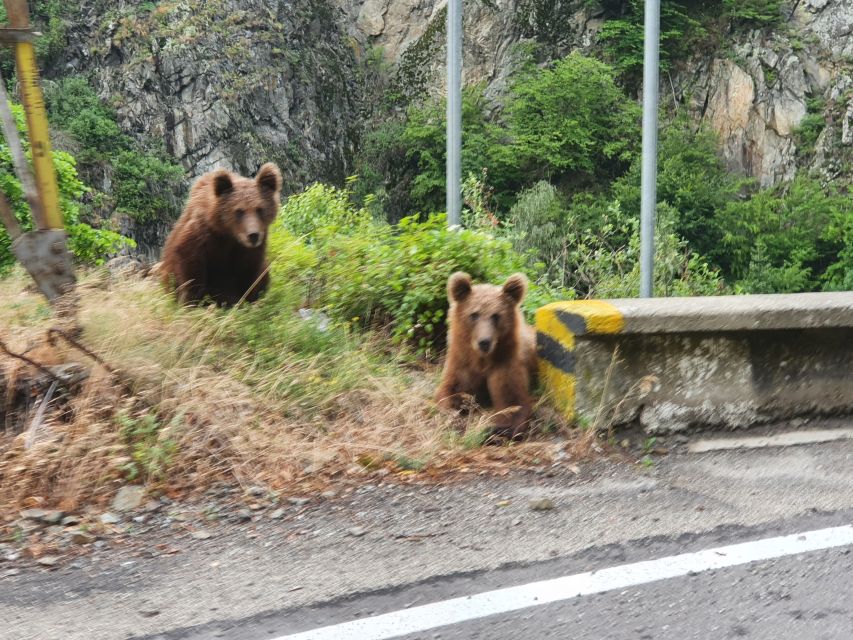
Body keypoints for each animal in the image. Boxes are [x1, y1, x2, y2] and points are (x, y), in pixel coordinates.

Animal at [158, 164, 282, 306]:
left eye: (260, 209)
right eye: (239, 211)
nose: (253, 235)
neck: (228, 233)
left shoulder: (248, 248)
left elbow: (249, 270)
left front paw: (247, 298)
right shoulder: (202, 234)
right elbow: (190, 266)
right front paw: (192, 300)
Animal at [436, 270, 536, 440]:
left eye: (496, 315)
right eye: (474, 314)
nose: (484, 342)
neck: (481, 360)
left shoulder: (505, 362)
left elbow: (512, 403)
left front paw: (493, 429)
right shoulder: (461, 362)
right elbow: (449, 392)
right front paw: (455, 419)